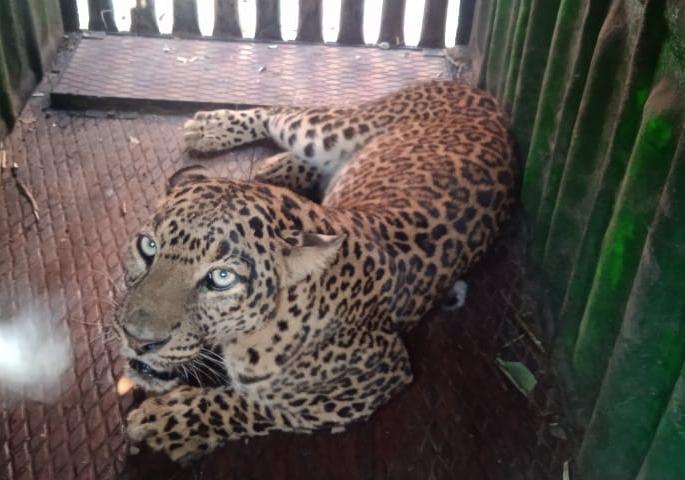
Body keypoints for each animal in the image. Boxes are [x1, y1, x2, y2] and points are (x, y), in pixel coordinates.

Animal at [117, 80, 518, 462]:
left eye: (221, 278)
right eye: (148, 247)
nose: (137, 340)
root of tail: (490, 102)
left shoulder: (380, 371)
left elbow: (260, 405)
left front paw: (169, 420)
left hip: (332, 129)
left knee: (285, 111)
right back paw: (236, 142)